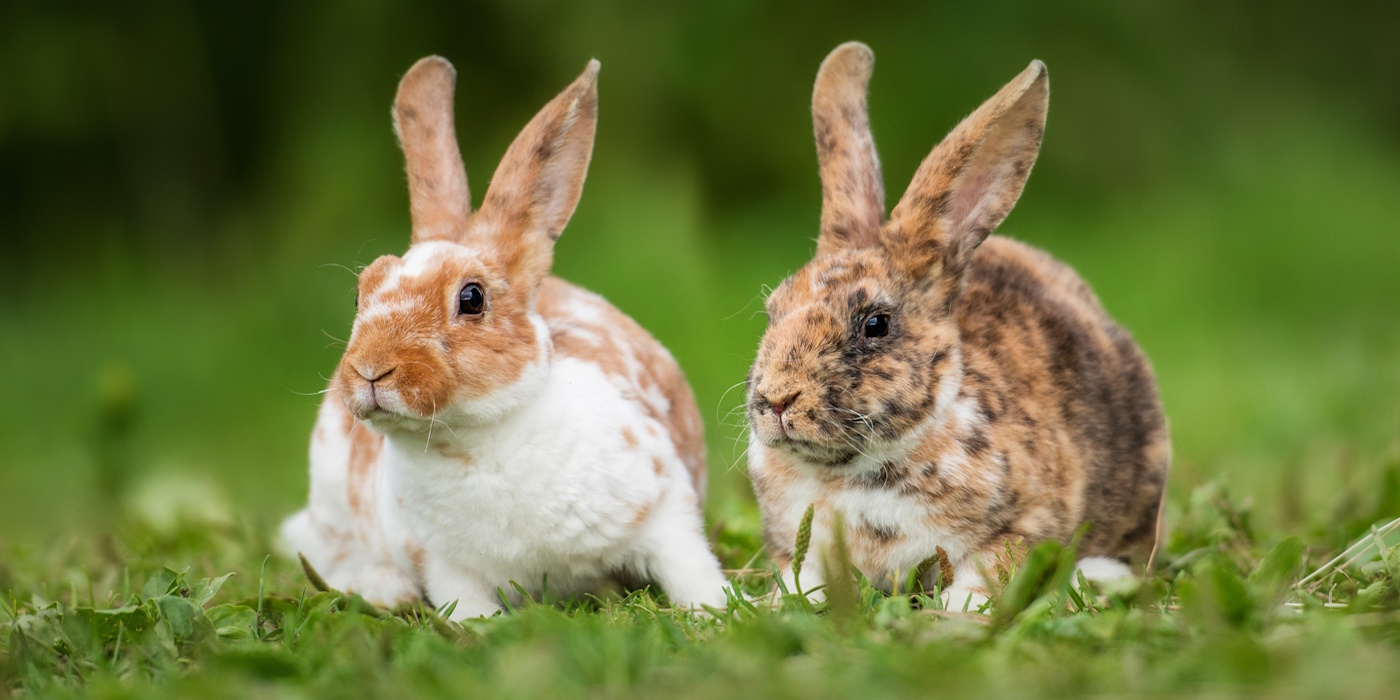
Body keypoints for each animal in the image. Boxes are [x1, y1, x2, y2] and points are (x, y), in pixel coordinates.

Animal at [281, 56, 731, 620]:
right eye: (362, 291)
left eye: (471, 297)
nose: (371, 370)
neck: (474, 440)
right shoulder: (446, 565)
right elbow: (468, 608)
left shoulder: (665, 514)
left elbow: (693, 571)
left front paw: (722, 609)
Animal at [745, 43, 1169, 610]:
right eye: (774, 311)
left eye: (875, 324)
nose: (777, 398)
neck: (851, 471)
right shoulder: (803, 546)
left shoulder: (1020, 529)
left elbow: (982, 579)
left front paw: (950, 621)